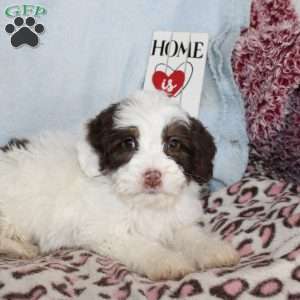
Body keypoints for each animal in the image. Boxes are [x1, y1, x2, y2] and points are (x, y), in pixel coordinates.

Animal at [0, 91, 239, 282]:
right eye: (128, 143)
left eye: (173, 144)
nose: (152, 176)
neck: (144, 205)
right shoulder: (108, 232)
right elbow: (142, 246)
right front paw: (166, 261)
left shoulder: (177, 220)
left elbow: (191, 235)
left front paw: (212, 249)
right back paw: (20, 248)